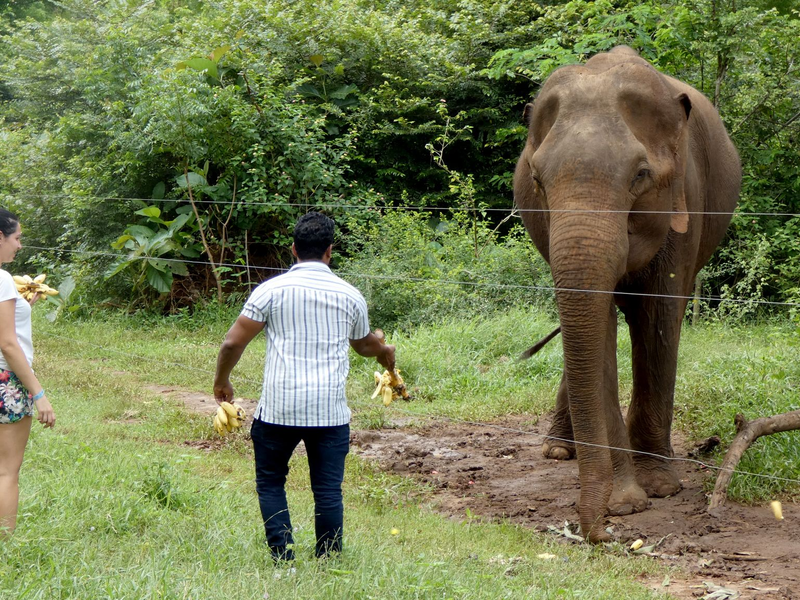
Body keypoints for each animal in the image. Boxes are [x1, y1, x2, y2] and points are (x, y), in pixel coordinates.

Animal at [513, 46, 740, 542]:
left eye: (640, 175)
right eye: (536, 180)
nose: (599, 531)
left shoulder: (684, 197)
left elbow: (657, 318)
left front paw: (660, 488)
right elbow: (598, 330)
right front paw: (627, 502)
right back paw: (558, 451)